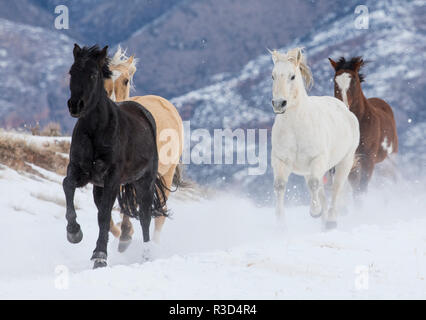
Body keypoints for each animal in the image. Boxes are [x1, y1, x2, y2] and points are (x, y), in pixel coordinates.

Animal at [65, 44, 168, 270]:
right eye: (71, 72)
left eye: (93, 74)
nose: (75, 105)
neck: (96, 130)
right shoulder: (80, 170)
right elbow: (67, 185)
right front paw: (74, 233)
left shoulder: (112, 178)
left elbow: (105, 214)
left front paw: (100, 257)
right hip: (99, 187)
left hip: (144, 181)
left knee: (145, 217)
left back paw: (146, 255)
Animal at [270, 48, 360, 230]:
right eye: (272, 76)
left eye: (292, 76)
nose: (279, 104)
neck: (296, 128)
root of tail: (344, 108)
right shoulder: (280, 160)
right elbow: (280, 185)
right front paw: (280, 223)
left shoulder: (317, 159)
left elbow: (314, 184)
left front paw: (315, 211)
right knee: (321, 189)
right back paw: (324, 220)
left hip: (345, 161)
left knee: (336, 188)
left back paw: (331, 220)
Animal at [326, 56, 400, 194]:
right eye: (335, 81)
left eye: (354, 80)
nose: (343, 106)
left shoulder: (368, 161)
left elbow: (361, 190)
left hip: (389, 160)